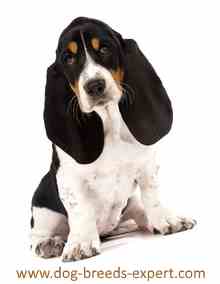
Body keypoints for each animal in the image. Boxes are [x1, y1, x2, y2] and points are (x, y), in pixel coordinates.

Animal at [30, 17, 196, 262]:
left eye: (105, 49)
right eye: (68, 58)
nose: (94, 86)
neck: (109, 122)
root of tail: (107, 231)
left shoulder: (147, 164)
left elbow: (152, 194)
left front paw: (165, 220)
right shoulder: (68, 177)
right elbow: (80, 209)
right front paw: (80, 243)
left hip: (129, 204)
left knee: (139, 212)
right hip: (43, 202)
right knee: (39, 233)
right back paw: (50, 243)